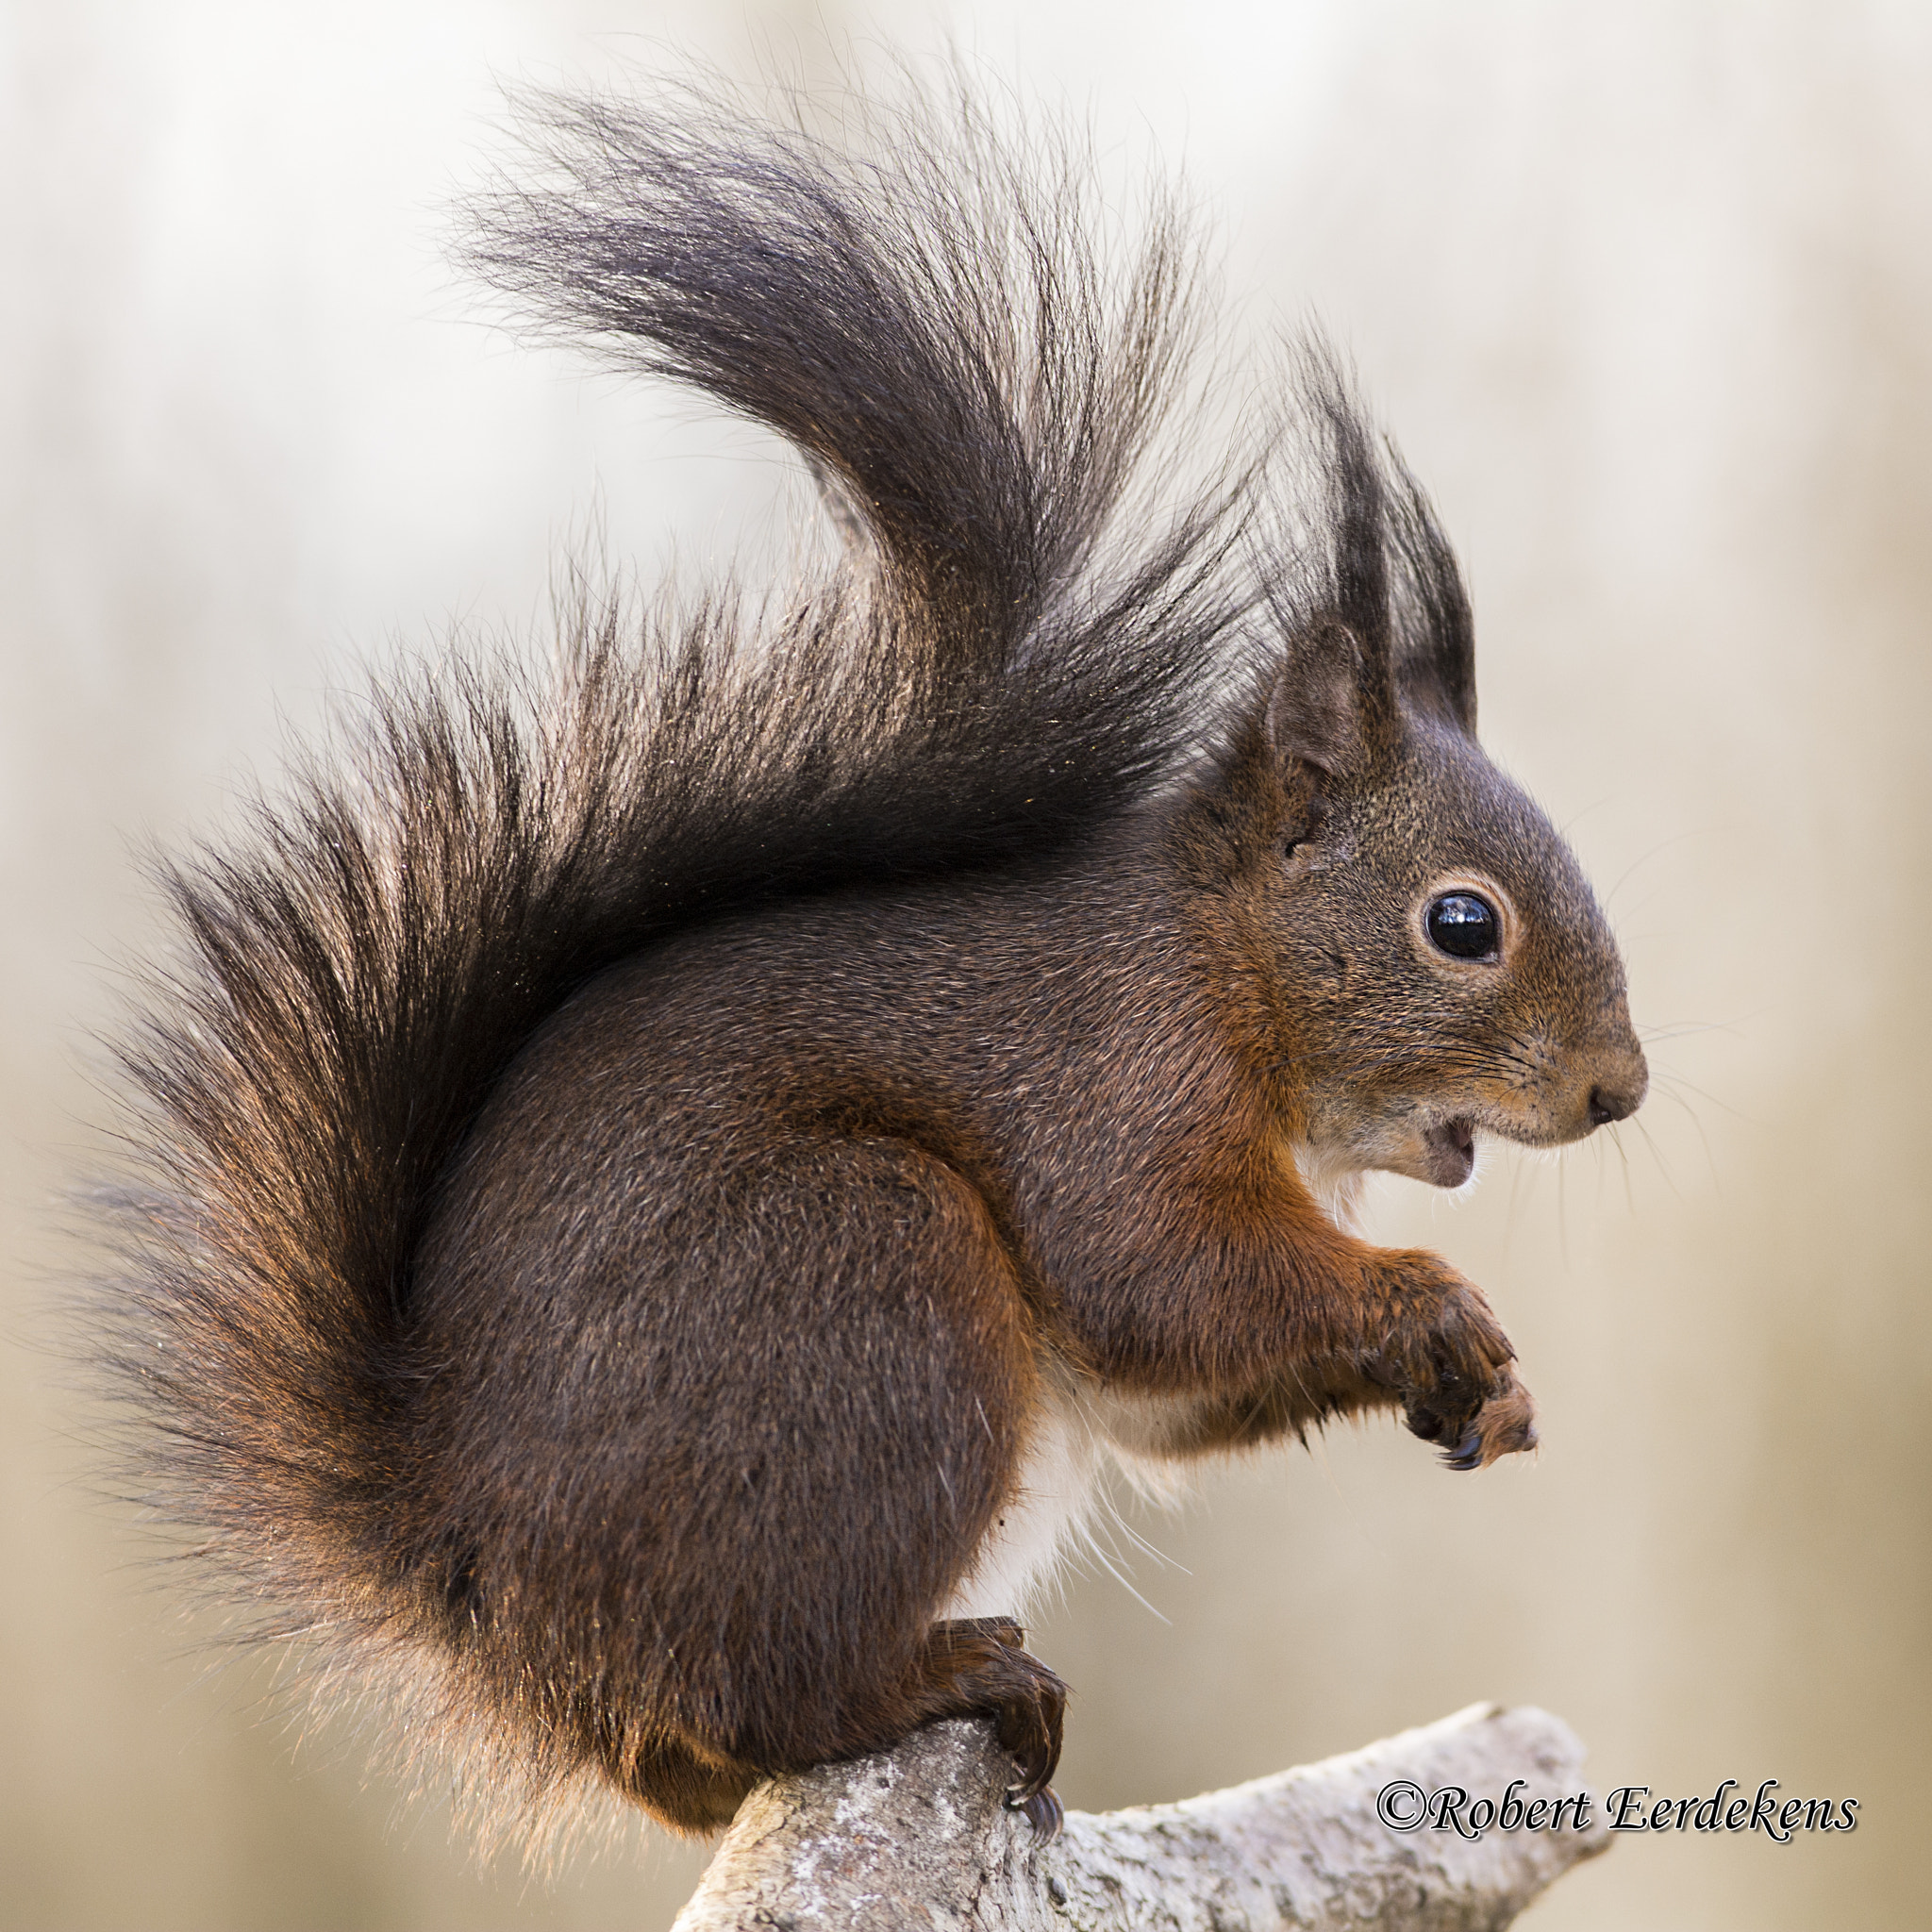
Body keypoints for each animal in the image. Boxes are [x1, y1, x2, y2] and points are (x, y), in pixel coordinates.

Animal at [94, 77, 1646, 1847]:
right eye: (1461, 923)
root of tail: (469, 1562)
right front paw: (1432, 1300)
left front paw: (1484, 1383)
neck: (1225, 963)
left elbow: (1170, 1388)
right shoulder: (1113, 1078)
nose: (1620, 1088)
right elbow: (1161, 1277)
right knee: (777, 1687)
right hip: (867, 1285)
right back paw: (943, 1676)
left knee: (687, 1751)